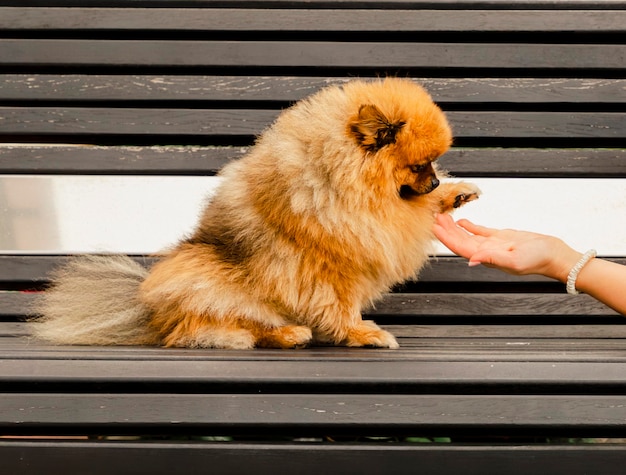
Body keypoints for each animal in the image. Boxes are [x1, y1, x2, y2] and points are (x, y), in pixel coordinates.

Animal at [30, 78, 478, 352]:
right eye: (417, 166)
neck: (340, 181)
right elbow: (340, 305)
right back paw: (286, 333)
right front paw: (362, 333)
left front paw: (456, 194)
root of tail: (150, 310)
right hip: (205, 275)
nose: (434, 183)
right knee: (214, 328)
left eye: (434, 164)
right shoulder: (331, 264)